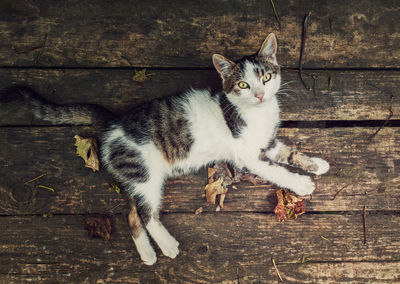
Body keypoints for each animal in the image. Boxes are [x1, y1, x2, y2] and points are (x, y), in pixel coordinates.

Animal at [0, 33, 328, 266]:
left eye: (266, 77)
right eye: (243, 85)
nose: (260, 95)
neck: (257, 114)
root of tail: (113, 123)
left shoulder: (266, 143)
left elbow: (287, 153)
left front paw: (316, 164)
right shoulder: (246, 154)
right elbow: (275, 170)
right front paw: (301, 183)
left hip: (138, 178)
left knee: (131, 214)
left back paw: (147, 253)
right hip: (144, 173)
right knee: (145, 214)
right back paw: (167, 245)